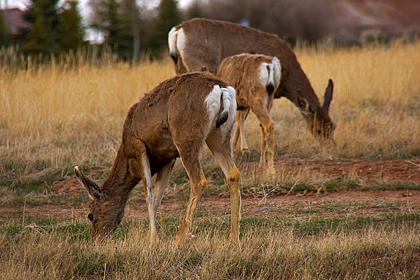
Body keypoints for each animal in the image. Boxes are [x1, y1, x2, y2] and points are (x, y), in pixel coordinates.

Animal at [74, 72, 241, 247]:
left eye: (90, 215)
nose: (95, 240)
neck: (126, 153)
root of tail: (221, 88)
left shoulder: (139, 146)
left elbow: (149, 194)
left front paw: (153, 239)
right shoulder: (169, 157)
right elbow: (159, 196)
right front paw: (152, 236)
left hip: (186, 137)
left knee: (199, 181)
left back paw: (178, 241)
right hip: (219, 135)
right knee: (233, 174)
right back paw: (234, 239)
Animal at [169, 18, 336, 147]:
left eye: (333, 127)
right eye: (318, 129)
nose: (330, 147)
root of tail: (178, 30)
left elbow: (240, 117)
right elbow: (241, 117)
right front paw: (240, 149)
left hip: (180, 68)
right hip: (198, 65)